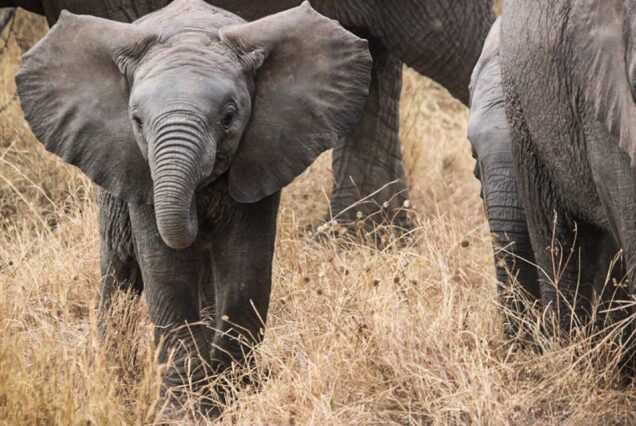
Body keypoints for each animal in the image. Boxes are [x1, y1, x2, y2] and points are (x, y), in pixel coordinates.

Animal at [16, 0, 372, 412]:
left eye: (229, 117)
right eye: (137, 121)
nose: (195, 214)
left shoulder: (264, 155)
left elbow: (245, 266)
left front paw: (233, 395)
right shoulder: (137, 172)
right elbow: (166, 270)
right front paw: (186, 409)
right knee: (118, 270)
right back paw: (110, 373)